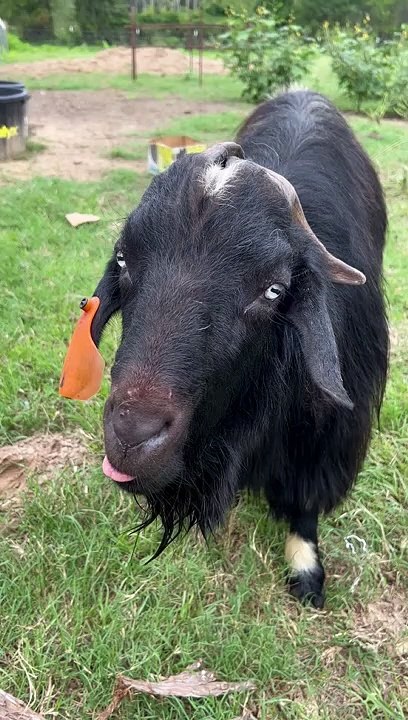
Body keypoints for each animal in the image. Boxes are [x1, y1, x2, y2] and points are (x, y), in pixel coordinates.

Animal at [60, 90, 389, 607]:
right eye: (123, 260)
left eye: (274, 290)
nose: (133, 435)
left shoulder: (329, 434)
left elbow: (304, 502)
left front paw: (306, 571)